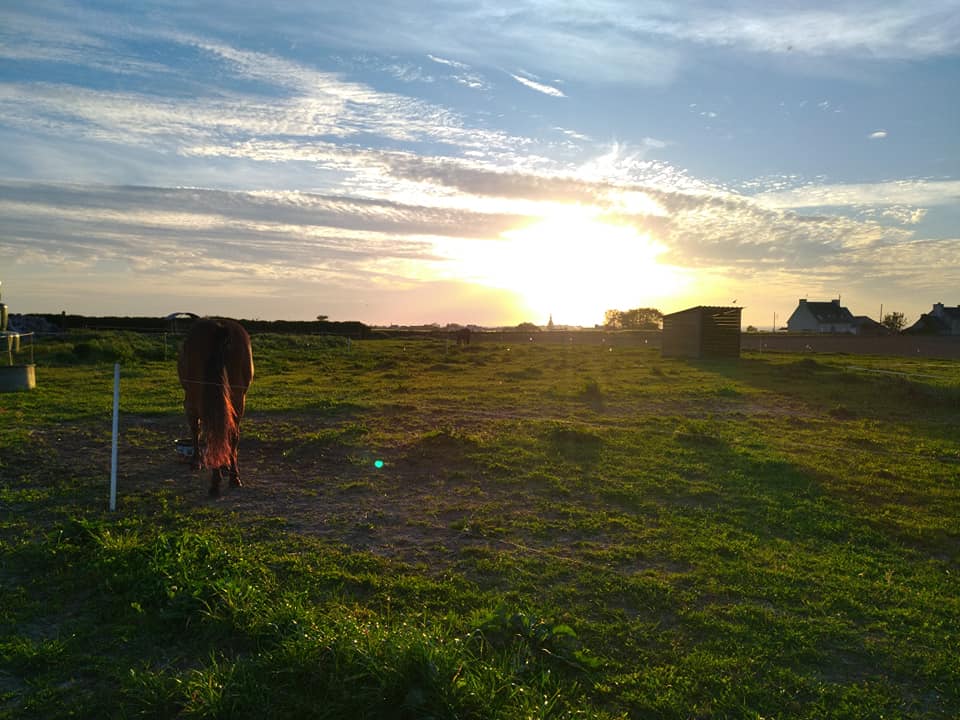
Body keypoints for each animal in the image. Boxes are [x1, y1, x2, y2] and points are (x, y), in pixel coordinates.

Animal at [175, 320, 253, 496]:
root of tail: (219, 327)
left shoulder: (191, 404)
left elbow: (195, 430)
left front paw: (196, 461)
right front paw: (226, 466)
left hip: (201, 399)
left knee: (211, 432)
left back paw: (215, 483)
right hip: (237, 398)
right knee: (232, 434)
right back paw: (234, 478)